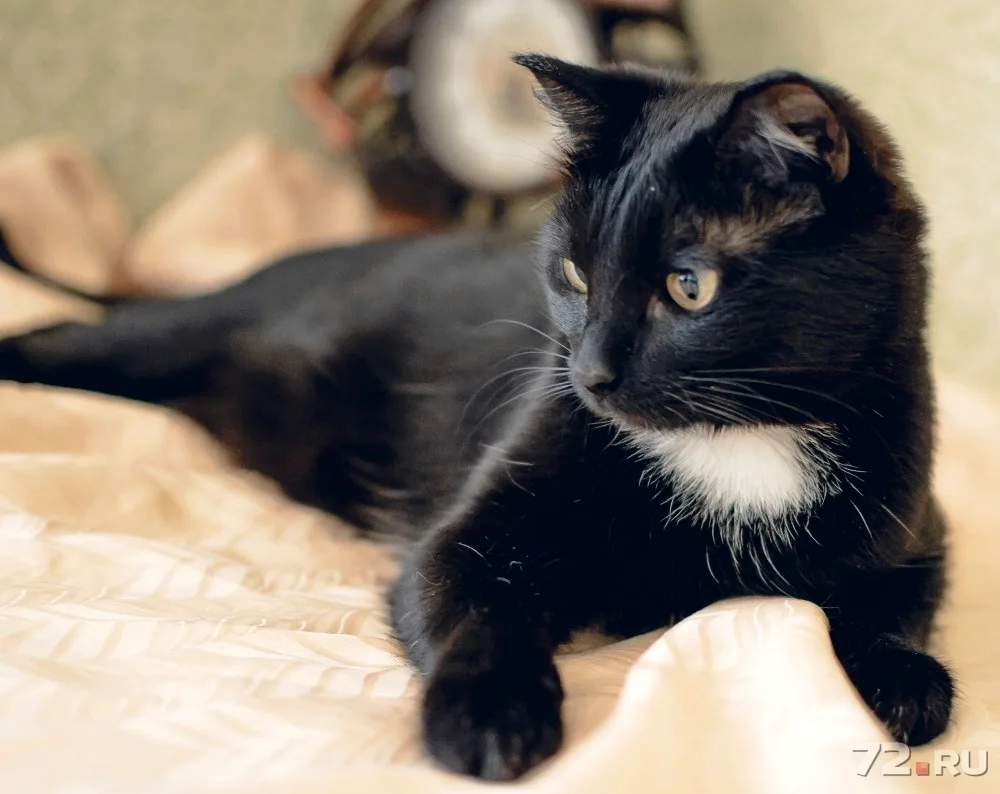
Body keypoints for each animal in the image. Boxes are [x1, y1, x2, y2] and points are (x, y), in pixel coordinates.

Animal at [0, 57, 952, 780]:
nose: (588, 374)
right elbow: (478, 603)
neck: (736, 439)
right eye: (574, 274)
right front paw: (491, 713)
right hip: (181, 335)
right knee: (72, 336)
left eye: (689, 287)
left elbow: (890, 599)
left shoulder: (918, 523)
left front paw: (902, 679)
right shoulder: (476, 526)